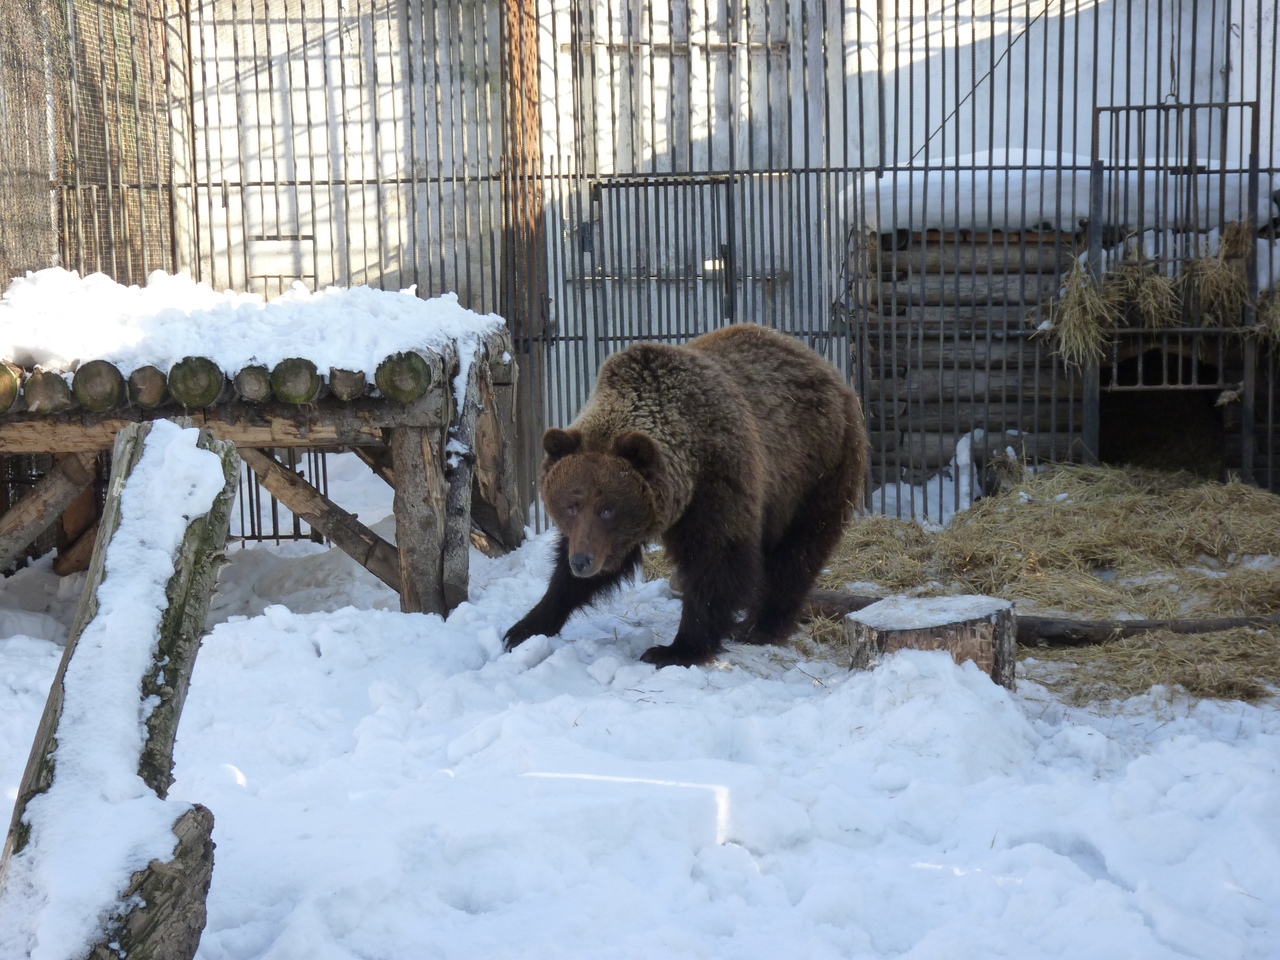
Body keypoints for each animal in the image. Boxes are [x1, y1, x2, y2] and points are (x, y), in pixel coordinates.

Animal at [503, 323, 867, 667]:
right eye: (571, 505)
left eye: (608, 508)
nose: (582, 561)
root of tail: (821, 364)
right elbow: (576, 574)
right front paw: (525, 627)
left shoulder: (719, 480)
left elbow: (717, 561)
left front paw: (675, 649)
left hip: (816, 469)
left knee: (797, 553)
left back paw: (758, 626)